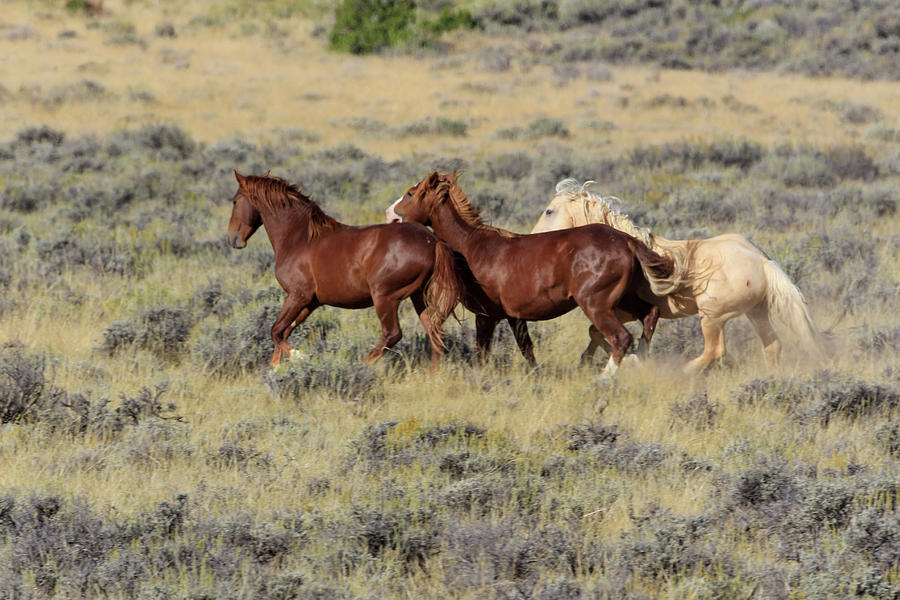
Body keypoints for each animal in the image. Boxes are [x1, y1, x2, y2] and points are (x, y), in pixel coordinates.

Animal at [225, 171, 464, 370]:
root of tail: (433, 241)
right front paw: (276, 367)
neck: (299, 238)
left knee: (393, 334)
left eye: (235, 201)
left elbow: (275, 330)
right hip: (418, 297)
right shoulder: (310, 302)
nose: (233, 239)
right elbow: (284, 330)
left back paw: (362, 366)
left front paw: (299, 357)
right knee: (434, 334)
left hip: (385, 298)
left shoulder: (297, 295)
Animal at [384, 171, 684, 376]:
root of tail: (627, 240)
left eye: (410, 194)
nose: (390, 215)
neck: (471, 247)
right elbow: (527, 350)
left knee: (621, 337)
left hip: (596, 303)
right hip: (623, 299)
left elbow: (483, 353)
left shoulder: (486, 315)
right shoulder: (514, 317)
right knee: (649, 316)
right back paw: (640, 363)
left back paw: (603, 380)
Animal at [532, 178, 832, 376]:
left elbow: (600, 332)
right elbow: (594, 332)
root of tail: (762, 261)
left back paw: (682, 373)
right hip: (755, 312)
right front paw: (588, 361)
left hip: (712, 317)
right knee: (772, 345)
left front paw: (632, 361)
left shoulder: (620, 309)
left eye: (549, 210)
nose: (534, 238)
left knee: (715, 350)